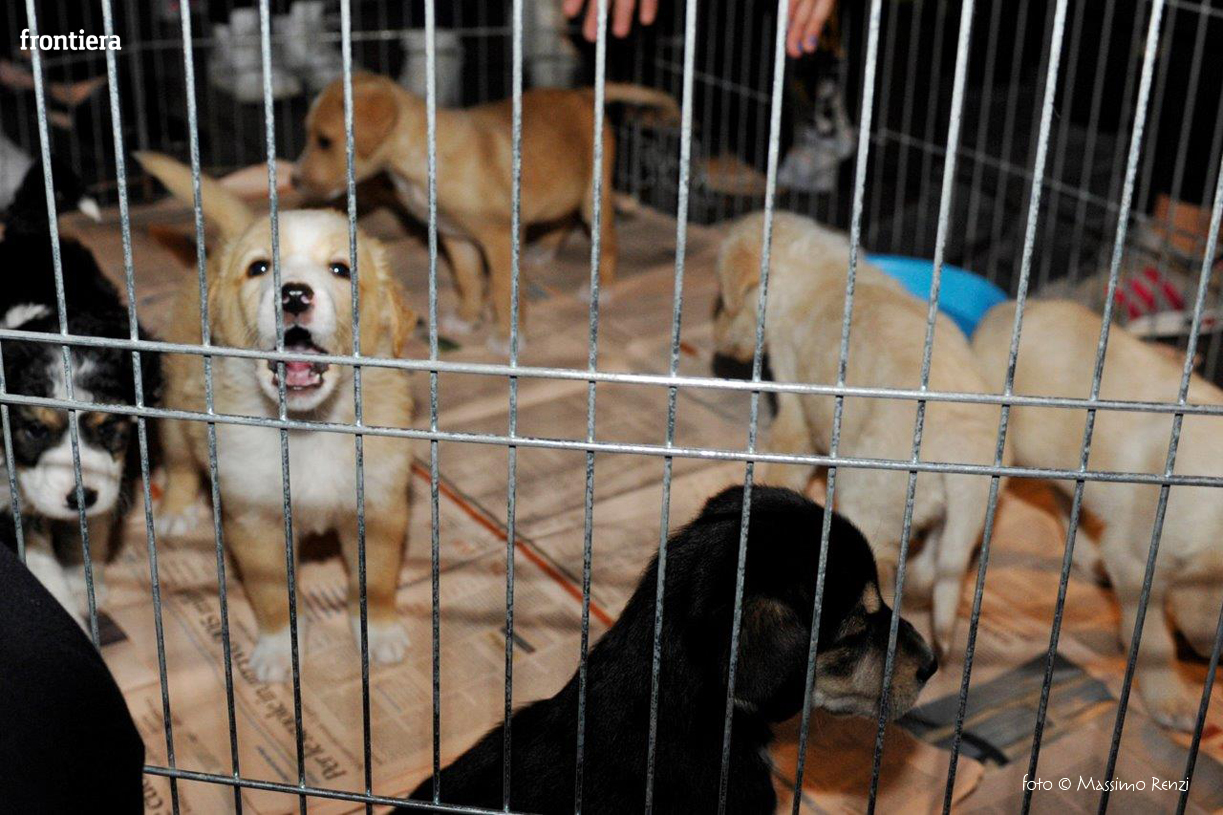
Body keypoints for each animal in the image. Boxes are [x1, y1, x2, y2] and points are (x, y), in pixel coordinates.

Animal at [0, 167, 159, 626]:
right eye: (34, 430)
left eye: (109, 429)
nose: (81, 497)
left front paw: (88, 588)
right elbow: (40, 565)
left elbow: (86, 535)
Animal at [136, 152, 417, 682]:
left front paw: (382, 633)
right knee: (180, 461)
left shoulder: (379, 506)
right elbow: (270, 595)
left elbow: (377, 581)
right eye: (259, 267)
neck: (307, 428)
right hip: (177, 406)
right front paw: (278, 649)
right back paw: (176, 511)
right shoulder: (253, 520)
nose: (294, 294)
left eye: (341, 268)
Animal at [293, 72, 679, 351]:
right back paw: (544, 251)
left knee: (608, 242)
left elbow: (503, 291)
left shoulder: (499, 239)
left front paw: (509, 338)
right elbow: (469, 281)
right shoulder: (456, 237)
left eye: (325, 140)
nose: (294, 180)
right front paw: (466, 318)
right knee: (562, 219)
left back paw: (603, 288)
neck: (423, 156)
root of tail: (583, 94)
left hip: (593, 195)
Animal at [712, 212, 1005, 657]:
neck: (814, 266)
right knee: (941, 556)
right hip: (963, 510)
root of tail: (964, 446)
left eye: (726, 302)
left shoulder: (795, 402)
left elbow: (786, 454)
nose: (716, 341)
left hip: (869, 495)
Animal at [973, 298, 1223, 730]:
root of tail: (1005, 307)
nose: (1213, 659)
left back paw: (1087, 557)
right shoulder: (1136, 557)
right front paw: (1170, 699)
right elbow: (1152, 635)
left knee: (1063, 499)